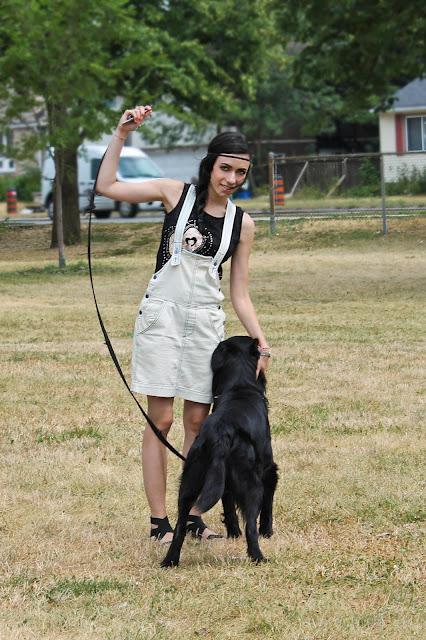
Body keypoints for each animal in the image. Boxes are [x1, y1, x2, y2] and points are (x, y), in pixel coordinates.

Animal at [161, 336, 278, 564]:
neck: (239, 388)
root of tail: (221, 433)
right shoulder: (269, 469)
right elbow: (267, 505)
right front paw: (267, 531)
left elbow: (228, 504)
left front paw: (233, 533)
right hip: (251, 485)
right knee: (251, 525)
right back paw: (259, 557)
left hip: (189, 483)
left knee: (179, 528)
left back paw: (170, 561)